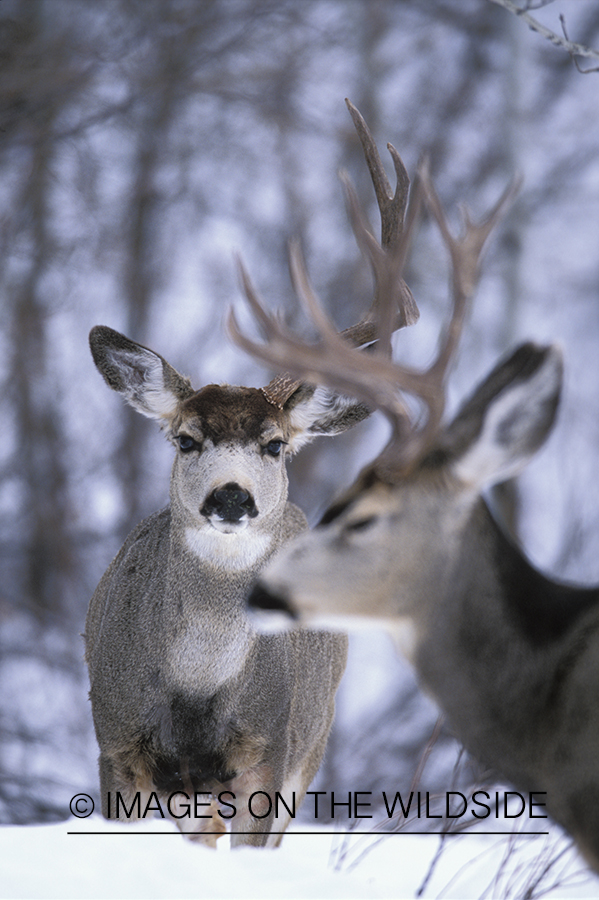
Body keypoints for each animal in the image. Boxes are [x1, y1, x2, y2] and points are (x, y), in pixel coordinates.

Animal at [84, 102, 420, 848]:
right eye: (185, 439)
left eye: (274, 446)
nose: (231, 497)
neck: (194, 695)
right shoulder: (116, 744)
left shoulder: (270, 752)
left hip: (312, 746)